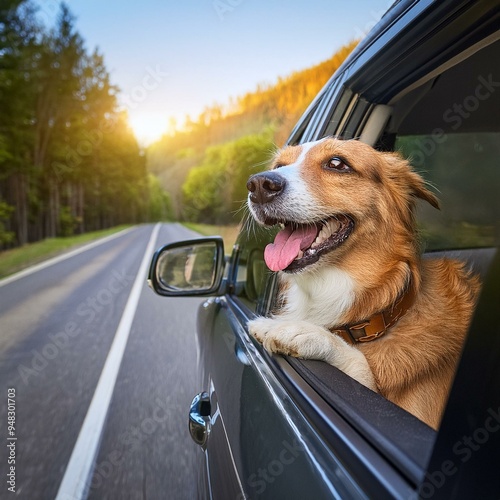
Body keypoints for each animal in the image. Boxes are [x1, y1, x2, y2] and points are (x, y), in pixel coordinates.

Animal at [246, 137, 480, 430]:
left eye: (337, 163)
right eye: (278, 166)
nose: (258, 185)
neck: (381, 316)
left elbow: (361, 367)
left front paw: (298, 331)